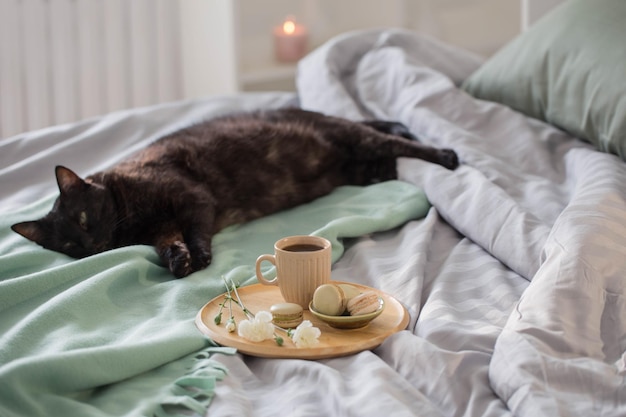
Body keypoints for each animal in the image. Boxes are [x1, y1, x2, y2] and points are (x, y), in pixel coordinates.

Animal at [12, 107, 456, 276]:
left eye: (85, 218)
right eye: (70, 245)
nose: (93, 245)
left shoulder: (191, 199)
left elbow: (196, 231)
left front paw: (200, 257)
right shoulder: (162, 228)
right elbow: (169, 243)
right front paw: (179, 262)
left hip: (358, 140)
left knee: (398, 140)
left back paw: (447, 155)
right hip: (366, 168)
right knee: (390, 149)